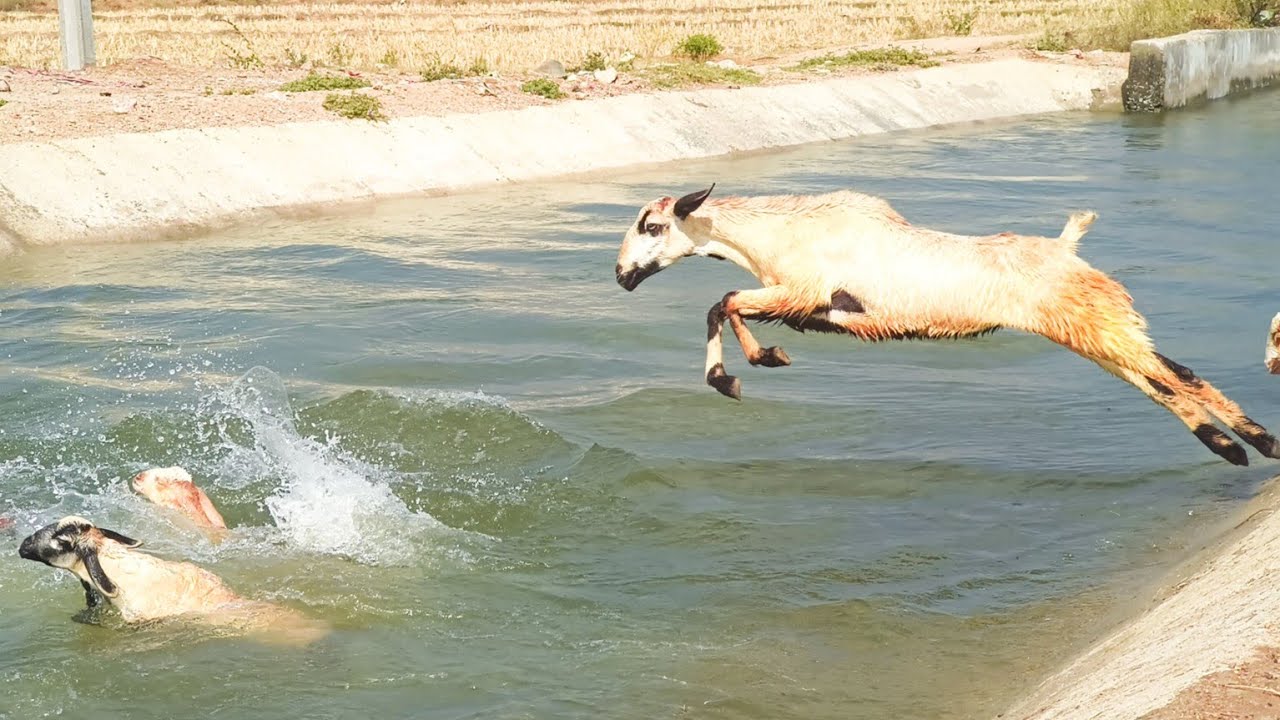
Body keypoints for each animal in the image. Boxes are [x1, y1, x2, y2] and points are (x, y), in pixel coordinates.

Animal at [614, 184, 1280, 466]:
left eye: (653, 226)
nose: (620, 274)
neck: (774, 232)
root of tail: (1067, 248)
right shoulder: (814, 311)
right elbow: (725, 304)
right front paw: (761, 361)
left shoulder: (802, 292)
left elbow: (722, 301)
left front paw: (740, 372)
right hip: (1090, 332)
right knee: (1159, 382)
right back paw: (1231, 448)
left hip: (1097, 320)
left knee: (1178, 376)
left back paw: (1257, 445)